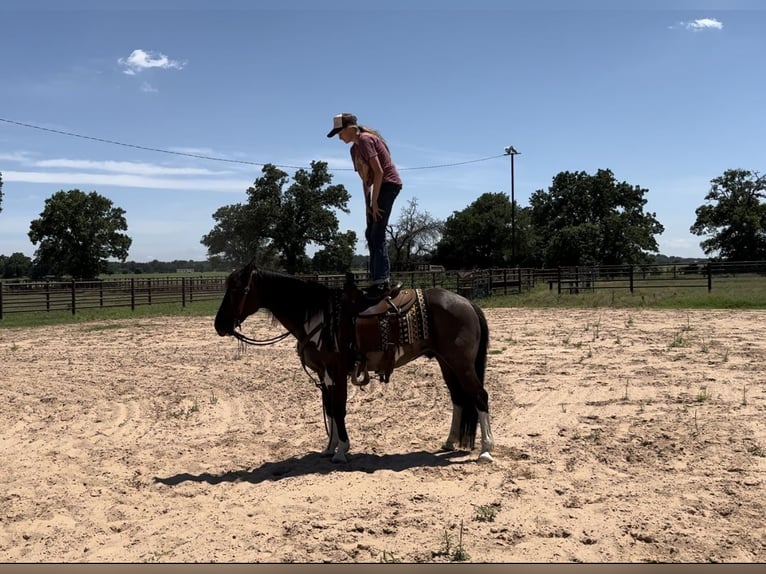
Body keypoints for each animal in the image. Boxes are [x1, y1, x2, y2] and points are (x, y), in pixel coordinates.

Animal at [213, 264, 496, 466]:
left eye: (237, 290)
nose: (219, 325)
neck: (318, 316)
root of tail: (467, 303)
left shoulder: (336, 371)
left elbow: (338, 409)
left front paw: (342, 451)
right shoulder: (324, 375)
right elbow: (329, 409)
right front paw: (329, 448)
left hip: (461, 363)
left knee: (480, 396)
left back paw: (486, 450)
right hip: (446, 362)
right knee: (459, 398)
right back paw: (450, 442)